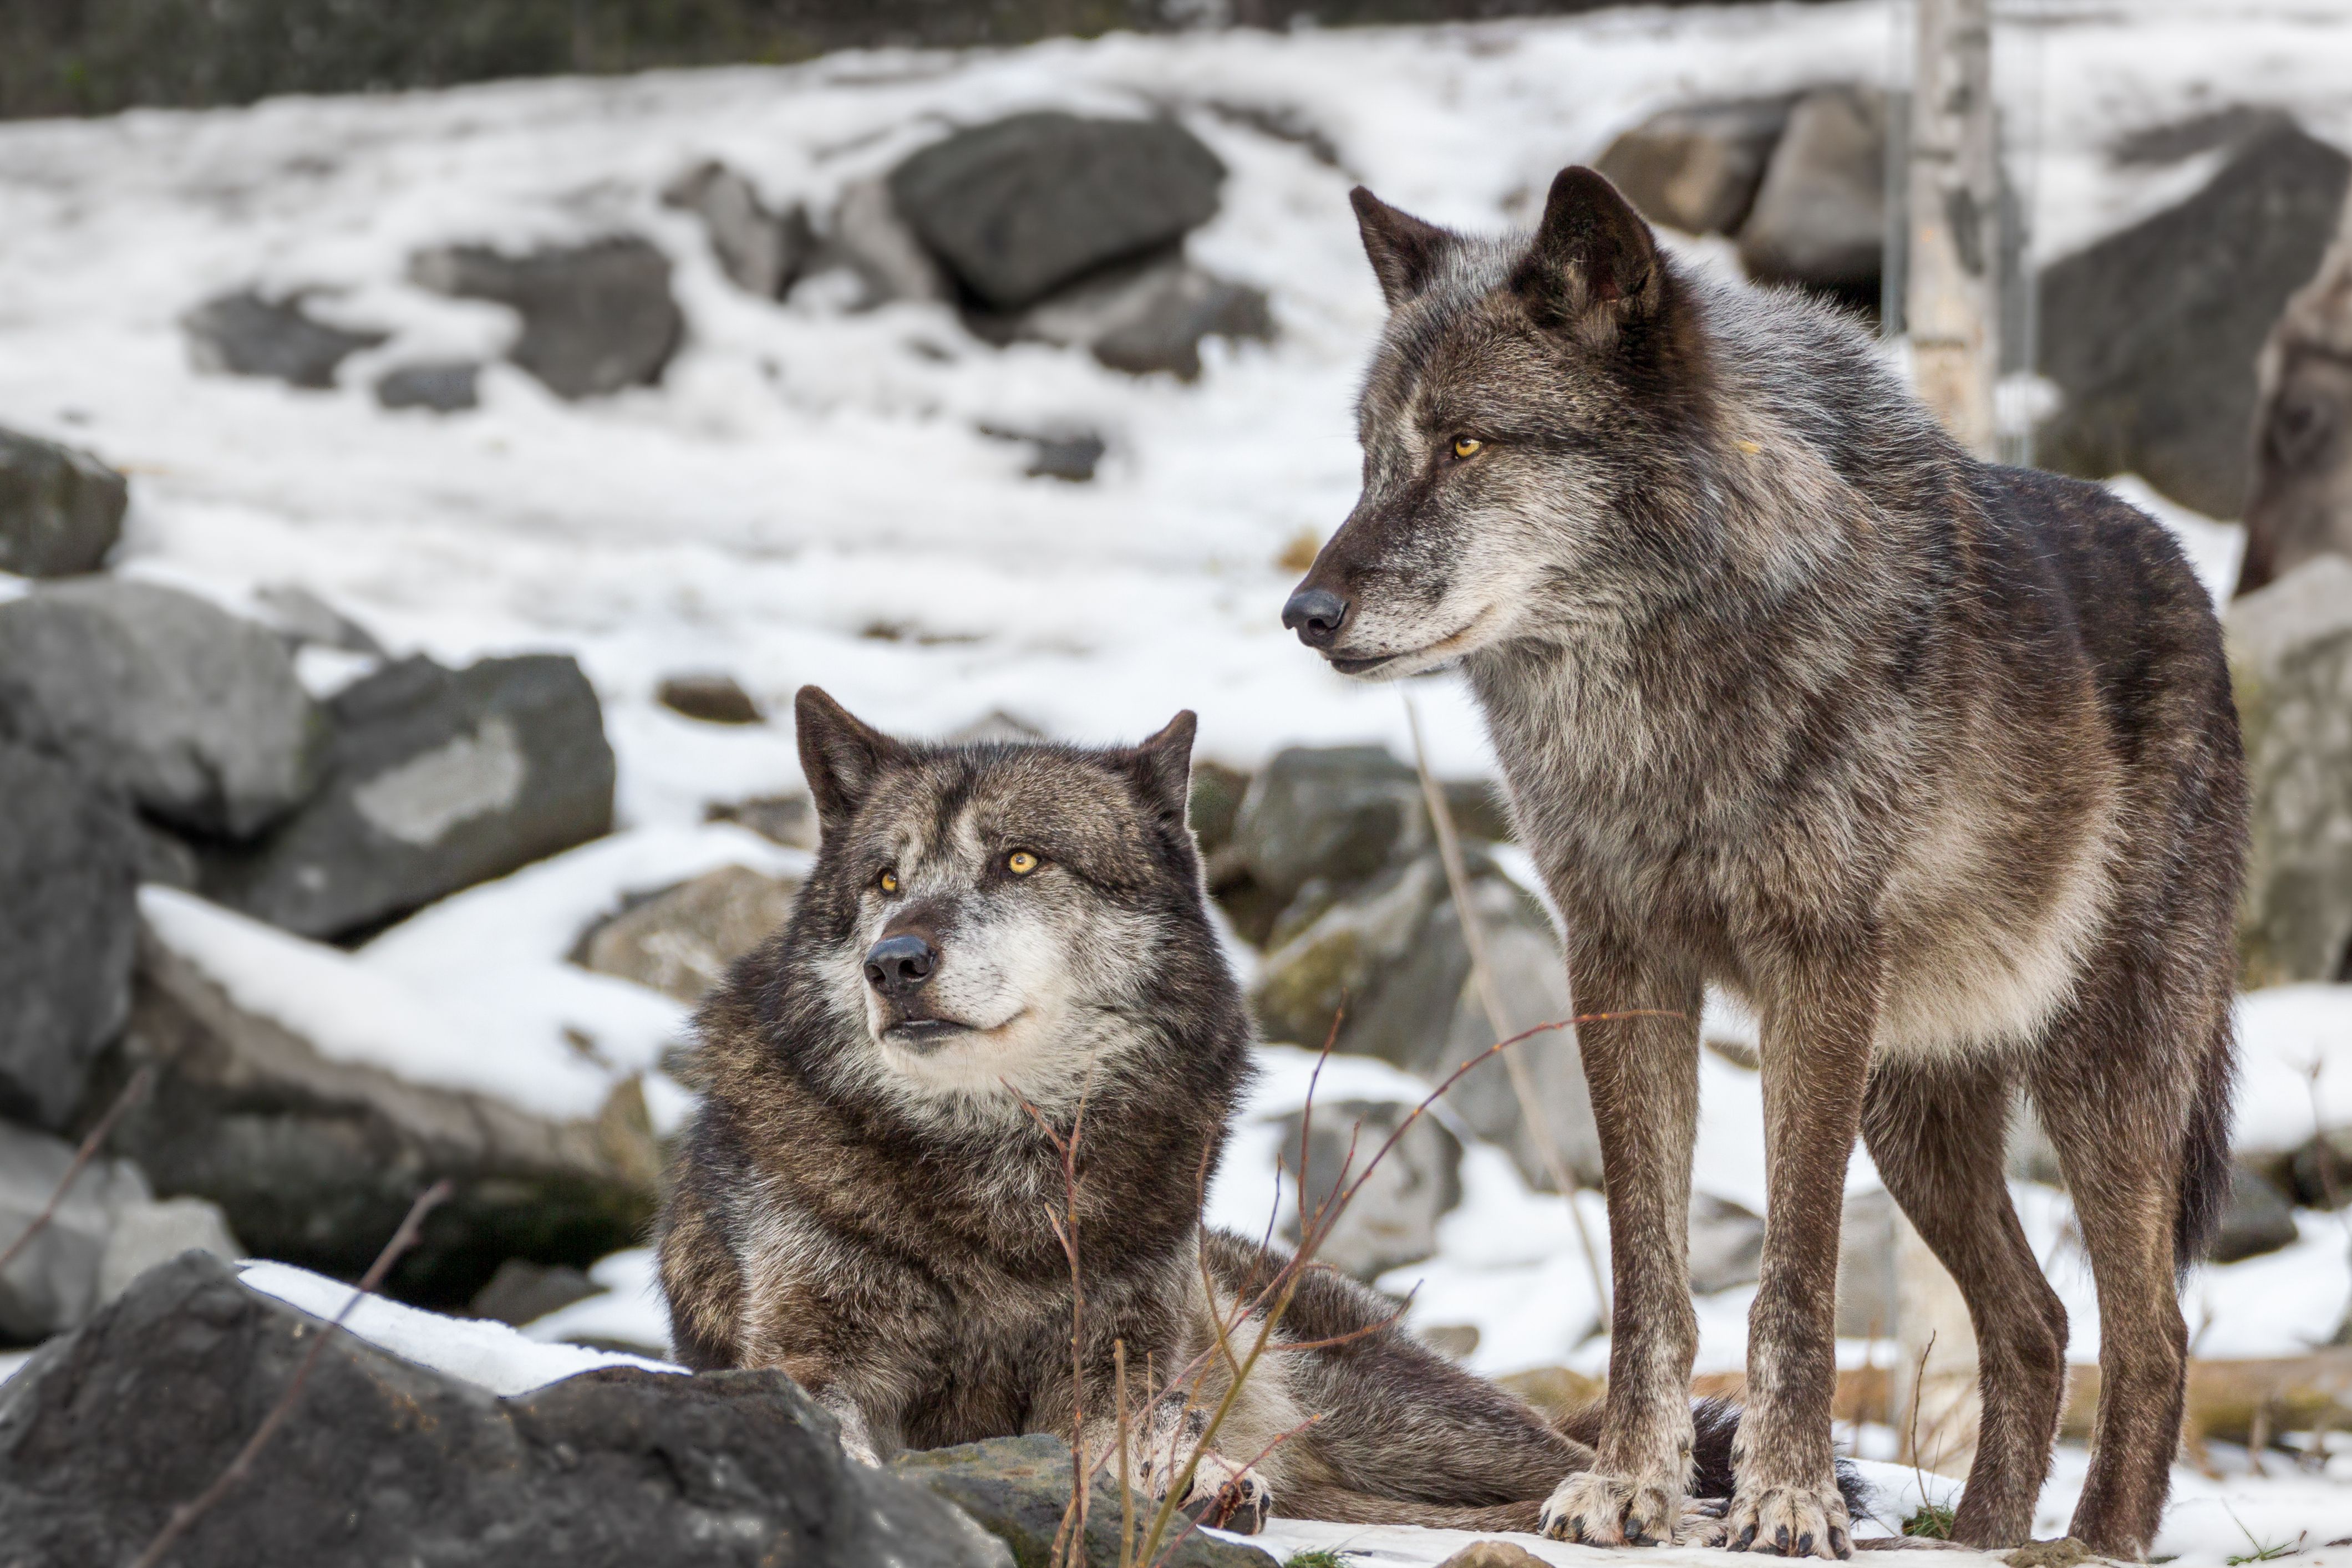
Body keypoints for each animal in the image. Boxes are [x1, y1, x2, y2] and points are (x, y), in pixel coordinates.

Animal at [656, 688, 1831, 1537]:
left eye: (1021, 859)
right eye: (886, 879)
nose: (893, 961)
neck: (997, 1184)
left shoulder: (1117, 1367)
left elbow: (1125, 1435)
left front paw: (1178, 1476)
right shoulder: (813, 1357)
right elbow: (832, 1427)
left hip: (1415, 1419)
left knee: (1571, 1457)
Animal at [1283, 169, 2247, 1561]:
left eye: (1464, 445)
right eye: (1369, 455)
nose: (1303, 614)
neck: (1657, 700)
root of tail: (2191, 581)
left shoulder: (1815, 970)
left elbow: (1793, 1273)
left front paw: (1784, 1497)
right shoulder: (1617, 962)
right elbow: (1646, 1271)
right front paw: (1627, 1486)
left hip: (2098, 1075)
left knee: (2151, 1328)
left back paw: (2089, 1540)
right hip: (1913, 1113)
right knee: (2034, 1322)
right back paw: (1968, 1532)